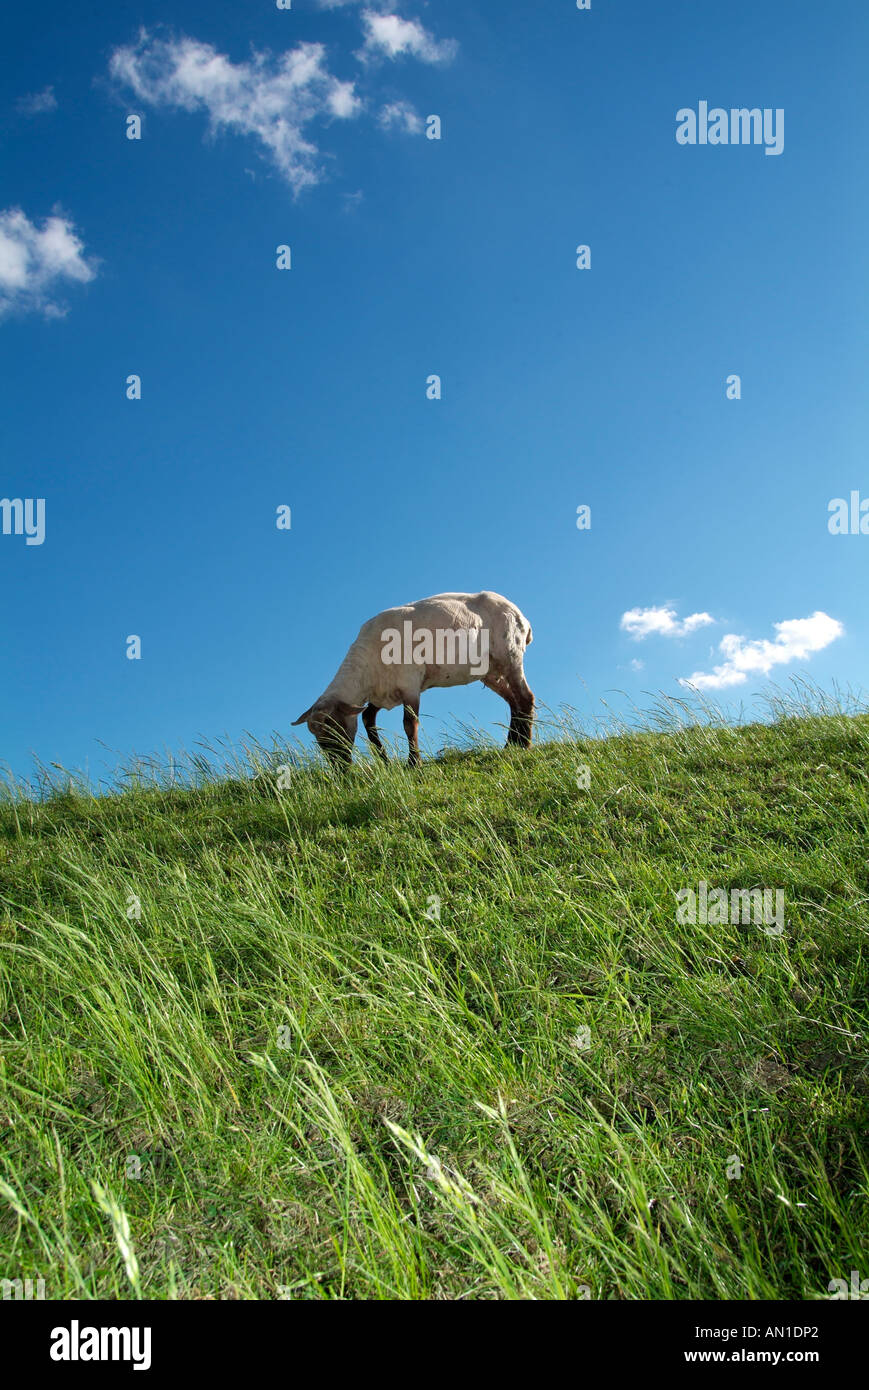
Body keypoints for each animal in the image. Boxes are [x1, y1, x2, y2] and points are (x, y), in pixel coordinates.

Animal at [294, 589, 531, 767]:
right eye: (318, 739)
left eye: (333, 728)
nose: (340, 769)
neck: (366, 667)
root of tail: (522, 618)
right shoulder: (384, 692)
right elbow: (368, 720)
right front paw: (385, 762)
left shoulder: (410, 685)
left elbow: (409, 723)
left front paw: (414, 763)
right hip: (491, 672)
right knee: (514, 702)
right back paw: (511, 745)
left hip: (510, 657)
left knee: (525, 698)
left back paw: (525, 744)